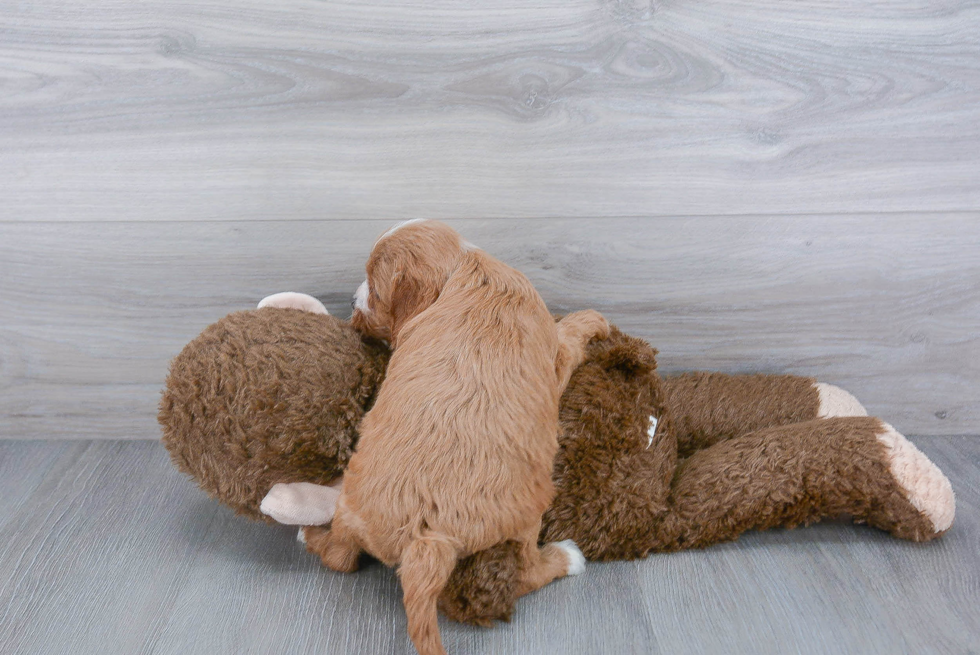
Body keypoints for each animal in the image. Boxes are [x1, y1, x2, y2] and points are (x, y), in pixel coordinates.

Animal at [306, 220, 608, 655]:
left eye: (374, 290)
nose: (349, 300)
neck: (465, 268)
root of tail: (426, 540)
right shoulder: (556, 357)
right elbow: (567, 335)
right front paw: (593, 320)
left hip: (352, 505)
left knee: (338, 557)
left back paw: (310, 536)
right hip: (527, 512)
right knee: (526, 572)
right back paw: (566, 557)